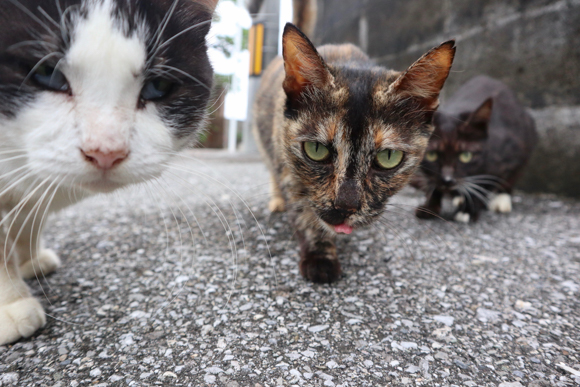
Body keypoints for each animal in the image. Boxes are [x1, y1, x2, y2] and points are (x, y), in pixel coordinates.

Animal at [0, 0, 218, 346]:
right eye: (47, 74)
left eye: (158, 86)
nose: (106, 151)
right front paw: (11, 303)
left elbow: (26, 218)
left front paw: (29, 261)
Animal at [254, 25, 458, 284]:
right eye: (316, 150)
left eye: (388, 157)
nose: (345, 207)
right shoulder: (286, 160)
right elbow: (302, 208)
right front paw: (319, 256)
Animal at [412, 74, 540, 223]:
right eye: (432, 154)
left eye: (466, 156)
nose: (447, 180)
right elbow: (433, 184)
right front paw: (430, 207)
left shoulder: (507, 155)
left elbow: (486, 183)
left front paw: (468, 210)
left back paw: (500, 200)